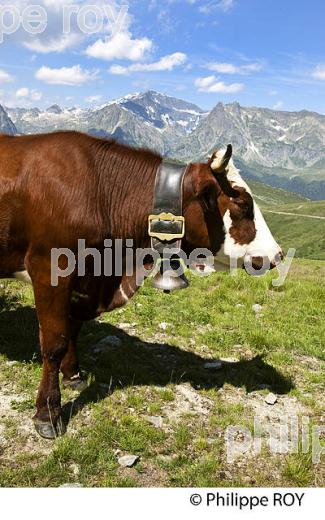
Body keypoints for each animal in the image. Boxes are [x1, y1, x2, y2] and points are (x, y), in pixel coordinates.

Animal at [0, 131, 280, 438]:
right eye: (243, 204)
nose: (277, 254)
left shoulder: (86, 281)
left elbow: (73, 328)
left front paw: (73, 375)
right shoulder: (50, 270)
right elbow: (54, 343)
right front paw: (48, 414)